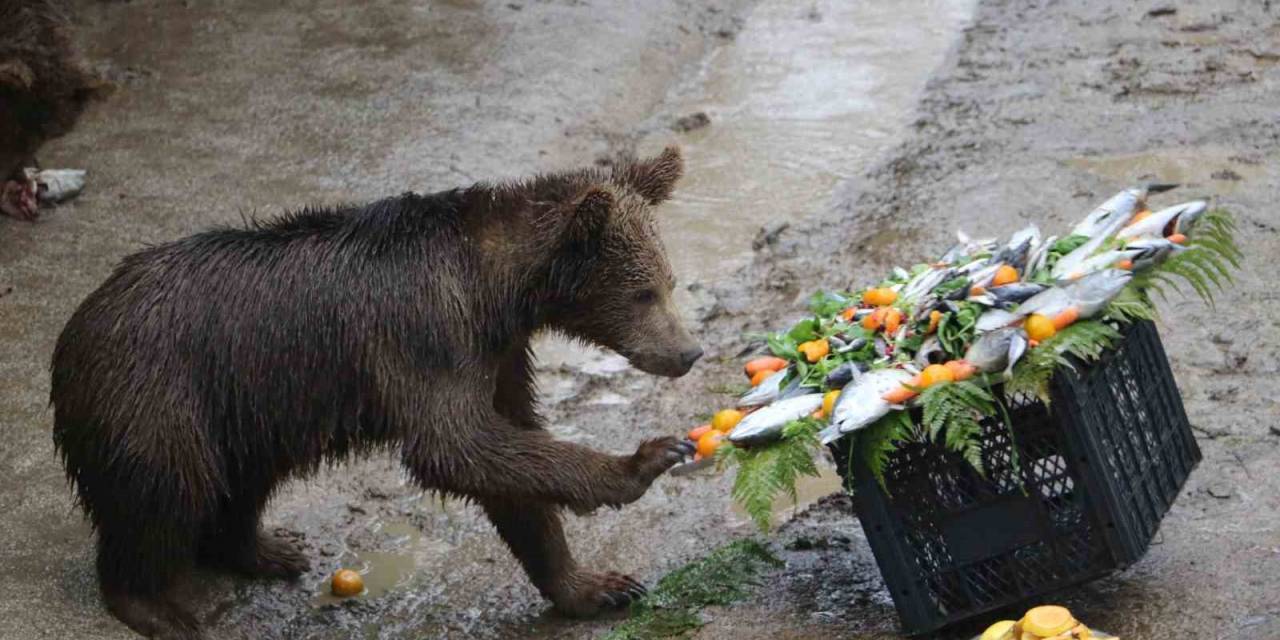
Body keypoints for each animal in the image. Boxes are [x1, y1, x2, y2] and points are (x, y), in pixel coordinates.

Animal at [49, 147, 706, 637]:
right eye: (643, 292)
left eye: (669, 282)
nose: (688, 352)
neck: (494, 288)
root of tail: (76, 326)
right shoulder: (426, 335)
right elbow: (457, 446)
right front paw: (645, 460)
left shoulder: (497, 354)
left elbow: (511, 460)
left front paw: (597, 586)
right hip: (157, 391)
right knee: (166, 486)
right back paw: (155, 605)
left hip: (249, 402)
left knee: (244, 479)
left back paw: (268, 548)